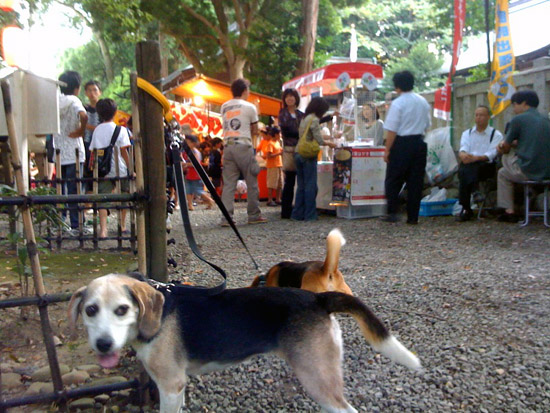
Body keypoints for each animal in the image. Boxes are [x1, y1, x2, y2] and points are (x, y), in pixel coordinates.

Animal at [69, 272, 422, 410]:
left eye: (122, 309)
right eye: (90, 310)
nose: (103, 344)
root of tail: (318, 299)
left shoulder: (170, 385)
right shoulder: (175, 389)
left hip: (317, 378)